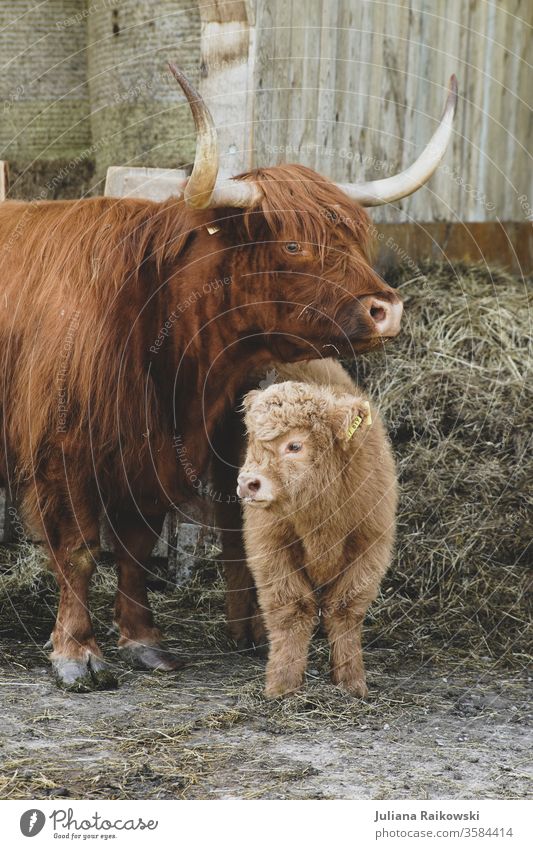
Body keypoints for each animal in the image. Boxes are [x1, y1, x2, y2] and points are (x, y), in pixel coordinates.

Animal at [237, 358, 394, 696]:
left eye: (295, 445)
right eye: (252, 441)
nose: (247, 483)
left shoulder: (370, 548)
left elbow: (345, 609)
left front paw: (350, 682)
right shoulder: (270, 549)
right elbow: (291, 609)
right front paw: (283, 684)